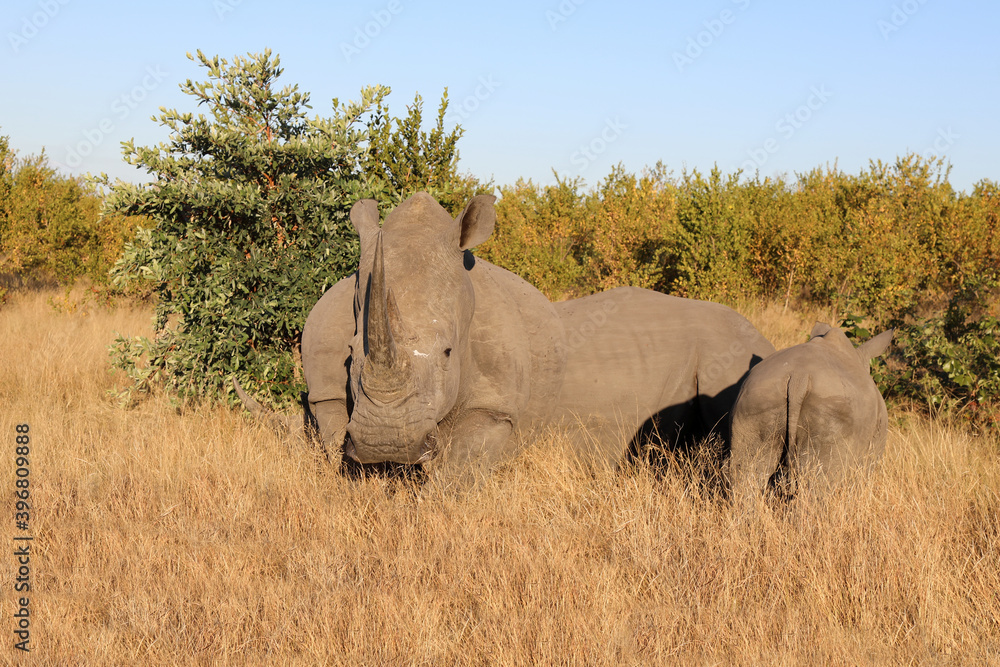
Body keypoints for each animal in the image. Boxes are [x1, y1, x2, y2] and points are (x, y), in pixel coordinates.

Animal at [242, 192, 775, 484]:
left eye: (449, 352)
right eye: (351, 356)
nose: (387, 443)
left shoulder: (497, 405)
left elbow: (457, 473)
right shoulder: (328, 393)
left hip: (731, 352)